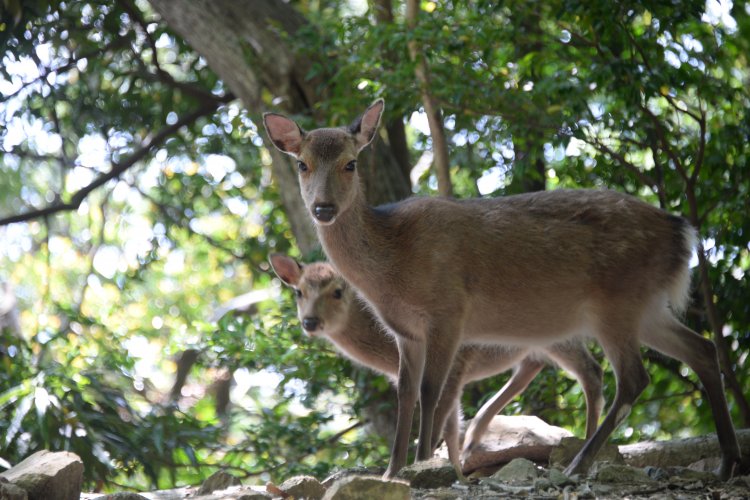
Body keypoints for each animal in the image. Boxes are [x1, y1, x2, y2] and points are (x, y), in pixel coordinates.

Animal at [269, 253, 604, 477]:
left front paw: (426, 467)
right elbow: (451, 425)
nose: (310, 322)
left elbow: (441, 422)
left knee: (591, 370)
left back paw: (586, 447)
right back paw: (476, 438)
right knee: (532, 367)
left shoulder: (457, 363)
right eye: (298, 291)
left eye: (337, 291)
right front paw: (453, 470)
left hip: (562, 332)